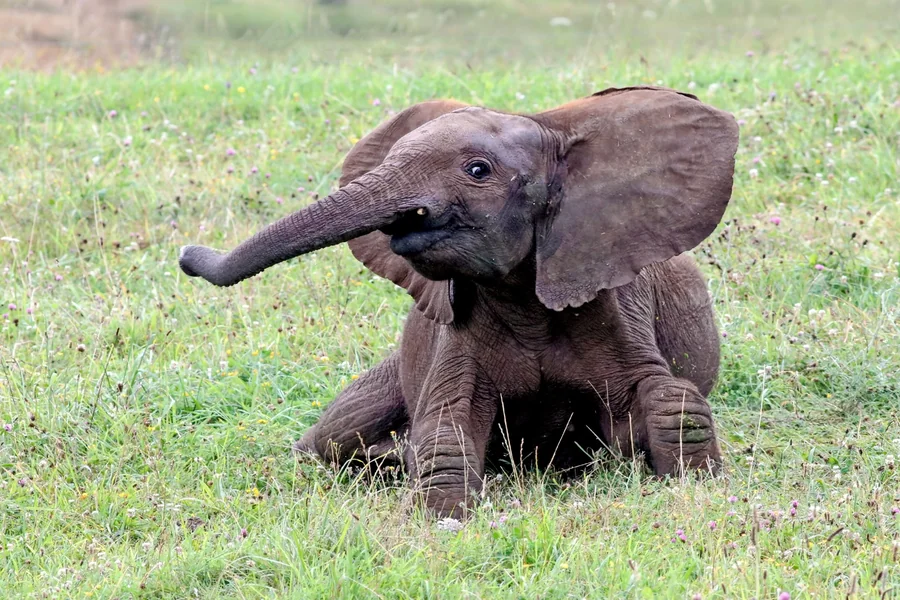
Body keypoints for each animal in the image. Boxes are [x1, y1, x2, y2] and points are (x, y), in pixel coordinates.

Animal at [179, 86, 740, 518]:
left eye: (477, 170)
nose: (186, 255)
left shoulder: (616, 299)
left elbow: (665, 399)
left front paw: (688, 474)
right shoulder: (456, 331)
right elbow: (448, 420)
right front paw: (442, 511)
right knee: (333, 436)